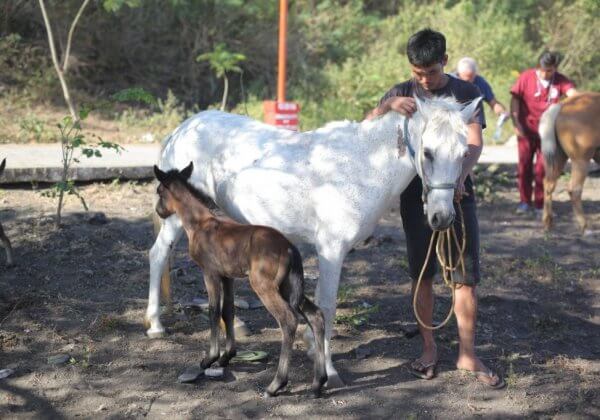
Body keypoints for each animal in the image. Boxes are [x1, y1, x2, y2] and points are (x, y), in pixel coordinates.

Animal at [152, 162, 326, 398]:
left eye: (159, 191)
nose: (158, 211)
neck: (201, 223)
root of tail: (289, 248)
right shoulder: (228, 276)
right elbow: (228, 311)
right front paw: (227, 356)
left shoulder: (210, 272)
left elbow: (214, 311)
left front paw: (210, 358)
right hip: (288, 287)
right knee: (316, 315)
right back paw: (318, 383)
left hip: (264, 286)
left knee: (288, 320)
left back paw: (276, 384)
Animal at [540, 92, 600, 233]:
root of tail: (562, 105)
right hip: (581, 161)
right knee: (574, 189)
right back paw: (585, 226)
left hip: (559, 157)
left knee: (548, 184)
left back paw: (548, 223)